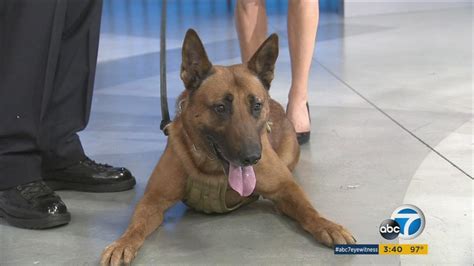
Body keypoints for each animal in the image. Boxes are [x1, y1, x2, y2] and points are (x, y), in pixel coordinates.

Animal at [100, 29, 356, 266]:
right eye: (221, 108)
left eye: (256, 105)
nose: (252, 158)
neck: (211, 168)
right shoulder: (153, 199)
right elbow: (136, 225)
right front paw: (122, 243)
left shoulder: (286, 187)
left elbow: (308, 209)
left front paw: (327, 225)